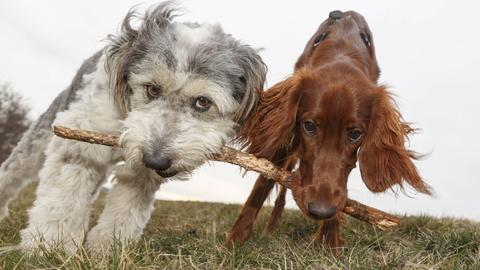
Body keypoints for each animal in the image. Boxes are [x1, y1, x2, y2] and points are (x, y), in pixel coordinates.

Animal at [0, 1, 266, 253]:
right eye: (152, 89)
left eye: (203, 102)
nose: (156, 160)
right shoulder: (81, 139)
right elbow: (64, 195)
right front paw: (49, 245)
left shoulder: (140, 171)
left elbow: (128, 205)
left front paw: (107, 246)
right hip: (42, 134)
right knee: (13, 172)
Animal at [227, 9, 434, 252]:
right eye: (309, 126)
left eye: (355, 134)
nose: (320, 211)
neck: (342, 52)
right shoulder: (284, 135)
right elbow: (262, 184)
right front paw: (235, 241)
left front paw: (331, 245)